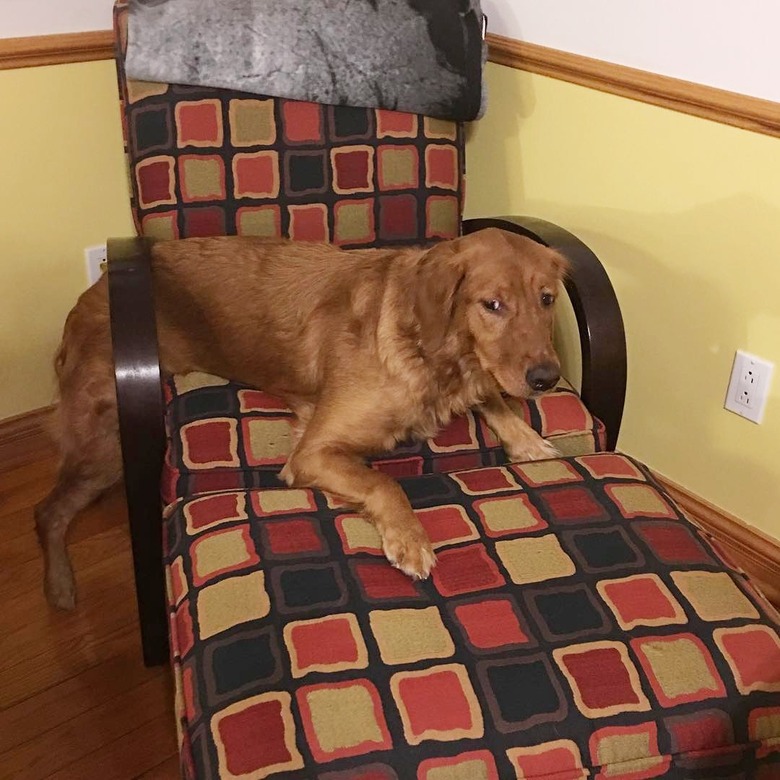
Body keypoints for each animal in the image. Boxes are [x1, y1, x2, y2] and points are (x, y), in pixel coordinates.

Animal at [35, 227, 568, 608]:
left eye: (547, 298)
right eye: (492, 305)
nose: (548, 378)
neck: (437, 358)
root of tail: (94, 289)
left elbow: (492, 396)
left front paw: (527, 439)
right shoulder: (313, 451)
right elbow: (384, 483)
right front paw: (410, 538)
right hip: (105, 444)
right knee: (47, 512)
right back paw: (60, 588)